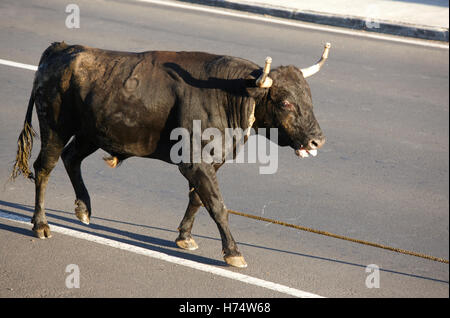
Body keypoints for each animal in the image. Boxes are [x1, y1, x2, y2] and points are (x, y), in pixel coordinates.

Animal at [11, 41, 330, 268]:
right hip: (55, 127)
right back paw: (40, 225)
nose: (318, 141)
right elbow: (218, 205)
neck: (229, 94)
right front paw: (233, 251)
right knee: (44, 167)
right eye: (286, 102)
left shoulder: (210, 163)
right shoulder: (194, 162)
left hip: (90, 134)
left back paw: (84, 208)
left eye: (309, 99)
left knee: (71, 158)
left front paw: (184, 237)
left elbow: (198, 199)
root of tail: (63, 48)